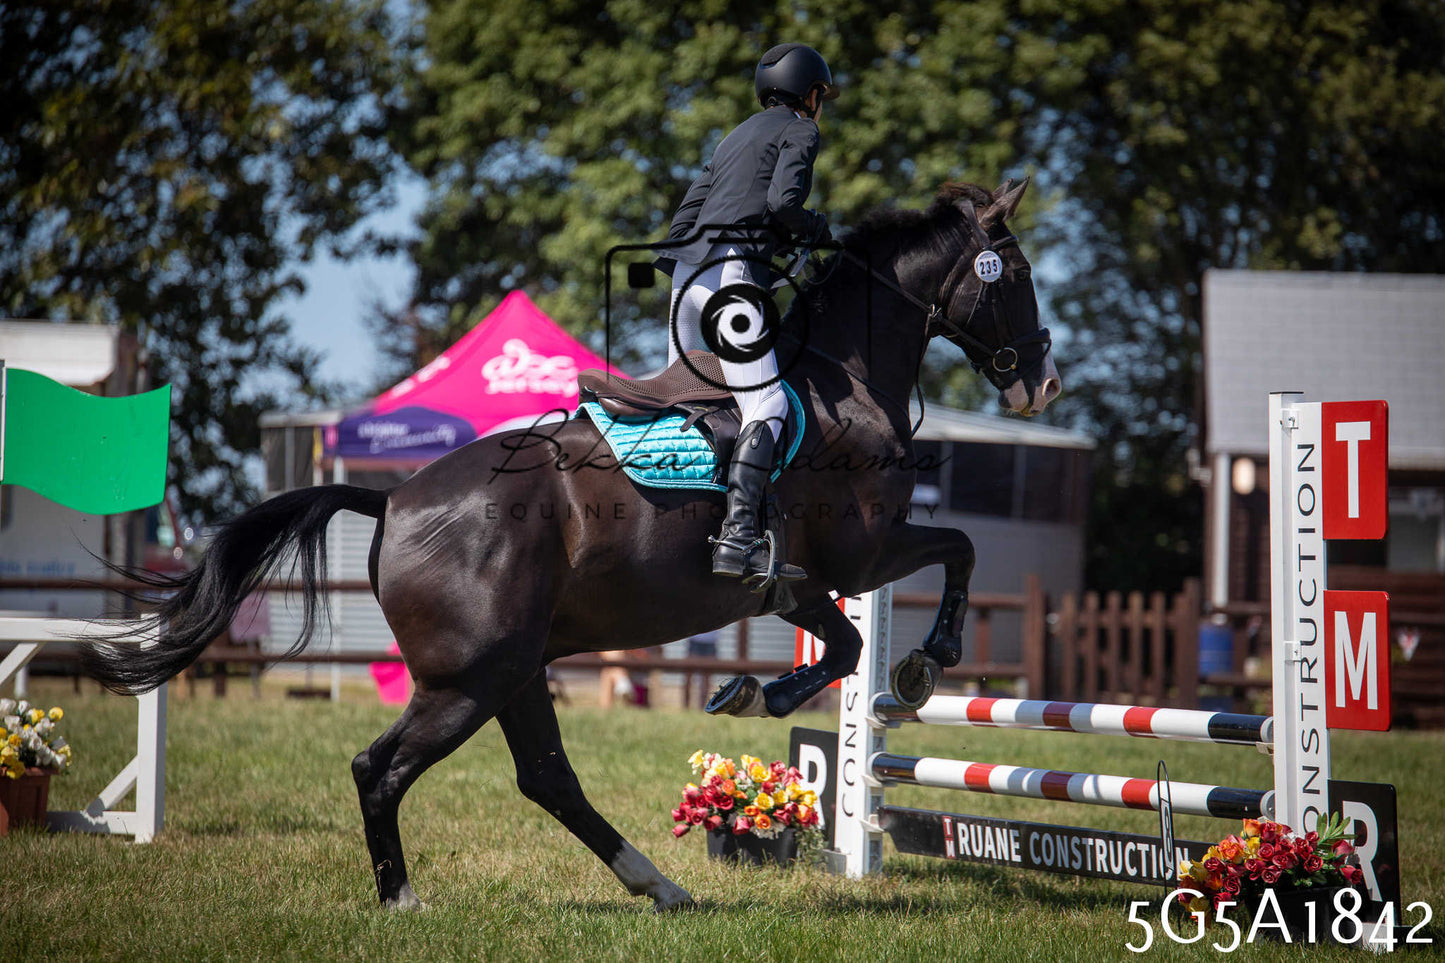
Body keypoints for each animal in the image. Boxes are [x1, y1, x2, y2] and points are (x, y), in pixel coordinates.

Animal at [85, 179, 1061, 911]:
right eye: (1013, 270)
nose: (1044, 381)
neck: (844, 379)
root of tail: (392, 497)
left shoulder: (804, 581)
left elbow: (854, 633)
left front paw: (760, 688)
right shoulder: (860, 557)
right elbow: (940, 565)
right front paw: (917, 662)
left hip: (516, 668)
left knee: (546, 777)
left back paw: (659, 885)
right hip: (469, 677)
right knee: (382, 767)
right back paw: (403, 896)